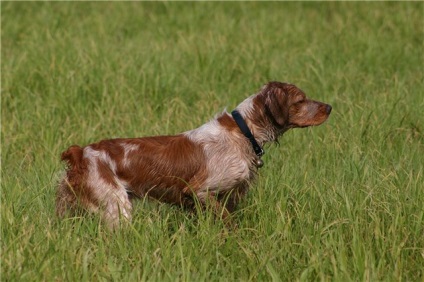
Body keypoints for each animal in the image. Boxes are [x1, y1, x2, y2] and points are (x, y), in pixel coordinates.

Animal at [55, 81, 332, 227]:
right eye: (300, 100)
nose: (329, 107)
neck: (243, 132)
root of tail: (81, 153)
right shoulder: (200, 190)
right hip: (116, 205)